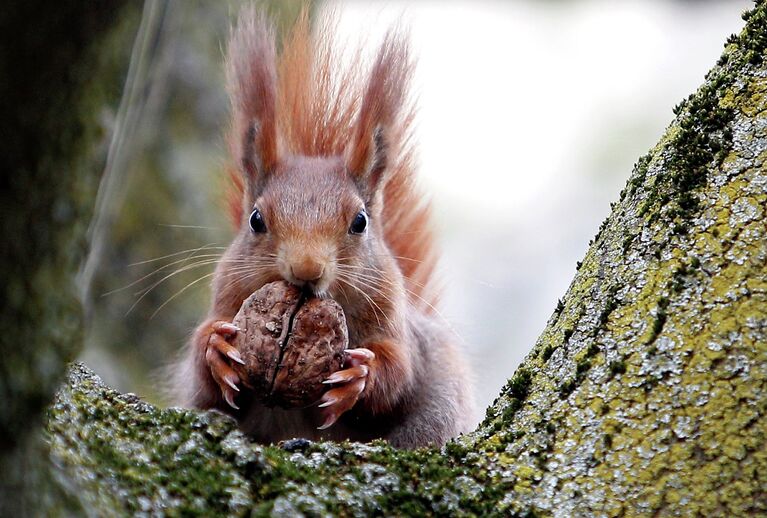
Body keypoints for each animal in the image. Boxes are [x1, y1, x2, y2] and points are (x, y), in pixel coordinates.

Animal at [172, 8, 476, 448]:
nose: (306, 269)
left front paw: (359, 377)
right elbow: (203, 377)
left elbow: (399, 372)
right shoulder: (226, 297)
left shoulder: (396, 324)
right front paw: (216, 348)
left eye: (360, 221)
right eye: (256, 220)